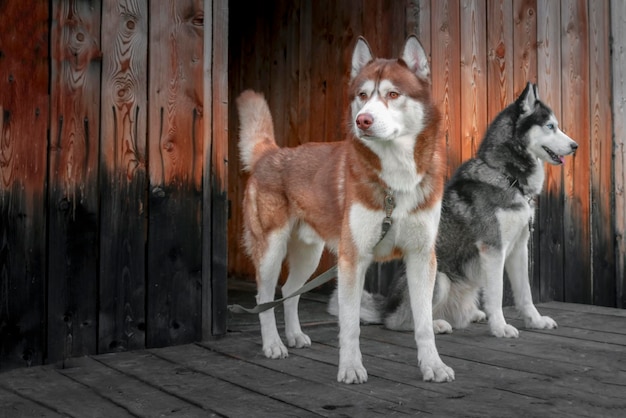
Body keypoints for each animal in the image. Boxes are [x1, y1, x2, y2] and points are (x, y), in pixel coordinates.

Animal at [236, 37, 450, 384]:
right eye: (362, 95)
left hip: (309, 254)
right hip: (270, 251)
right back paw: (273, 344)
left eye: (393, 94)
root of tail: (271, 153)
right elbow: (349, 325)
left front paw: (433, 365)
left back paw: (294, 336)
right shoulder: (353, 258)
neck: (397, 178)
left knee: (290, 290)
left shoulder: (421, 257)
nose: (363, 119)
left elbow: (424, 323)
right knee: (265, 297)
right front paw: (350, 367)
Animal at [330, 83, 576, 338]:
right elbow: (497, 294)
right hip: (438, 278)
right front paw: (500, 327)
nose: (575, 146)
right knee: (400, 321)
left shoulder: (518, 247)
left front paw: (535, 321)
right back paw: (435, 325)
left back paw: (470, 315)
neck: (508, 177)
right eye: (550, 126)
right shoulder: (493, 249)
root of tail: (387, 305)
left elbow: (525, 293)